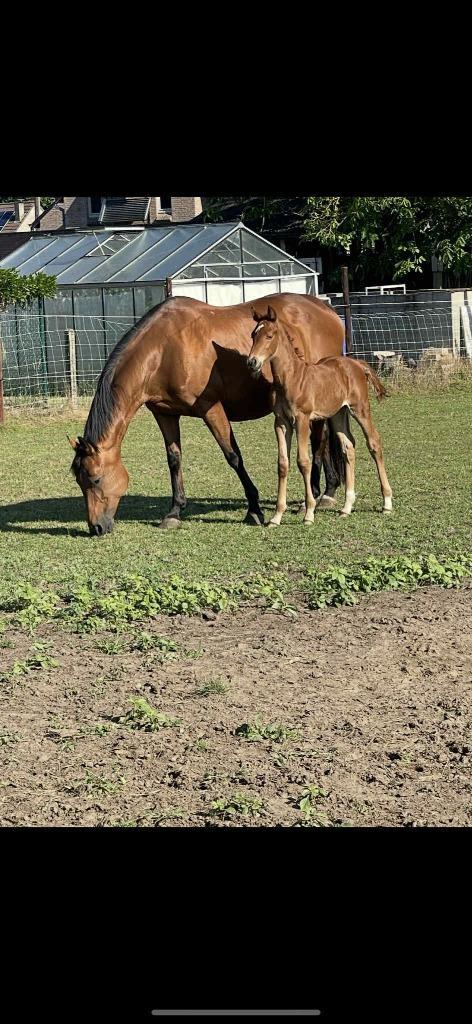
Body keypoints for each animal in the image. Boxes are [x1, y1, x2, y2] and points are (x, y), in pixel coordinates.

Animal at [69, 292, 349, 536]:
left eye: (95, 479)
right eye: (79, 481)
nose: (96, 527)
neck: (163, 349)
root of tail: (327, 310)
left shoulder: (211, 408)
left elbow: (233, 457)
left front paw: (254, 510)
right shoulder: (164, 414)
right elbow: (174, 459)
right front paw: (174, 512)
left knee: (318, 442)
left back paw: (313, 497)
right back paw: (328, 491)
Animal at [247, 306, 393, 526]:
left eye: (269, 336)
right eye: (253, 335)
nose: (252, 362)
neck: (291, 378)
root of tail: (357, 363)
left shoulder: (302, 419)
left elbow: (303, 461)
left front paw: (308, 513)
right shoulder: (281, 422)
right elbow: (283, 463)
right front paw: (276, 516)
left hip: (360, 408)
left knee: (374, 442)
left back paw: (387, 503)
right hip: (338, 413)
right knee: (348, 446)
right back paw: (346, 507)